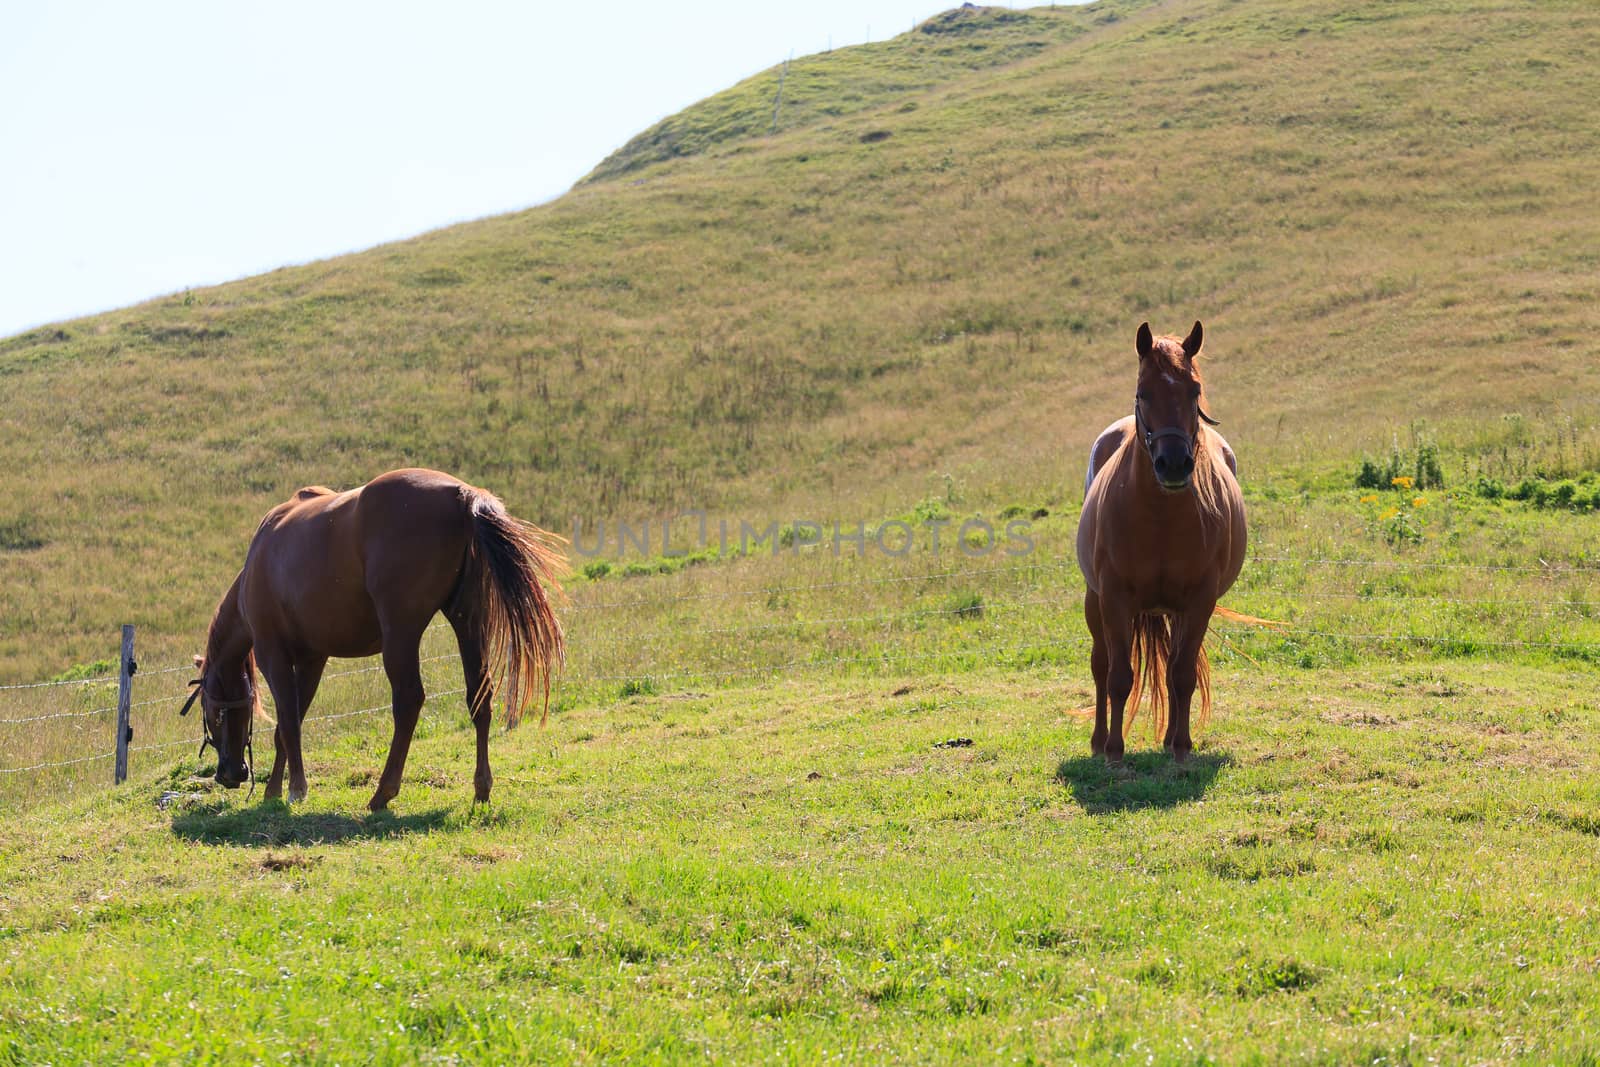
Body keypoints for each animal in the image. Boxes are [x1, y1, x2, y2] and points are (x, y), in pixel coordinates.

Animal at [182, 467, 566, 809]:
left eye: (210, 709)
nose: (231, 774)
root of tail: (462, 497)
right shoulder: (311, 660)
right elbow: (289, 727)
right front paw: (275, 790)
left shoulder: (273, 656)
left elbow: (288, 723)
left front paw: (291, 790)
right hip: (468, 624)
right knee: (478, 696)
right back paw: (481, 788)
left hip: (401, 636)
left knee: (408, 701)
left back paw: (383, 792)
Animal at [1075, 321, 1248, 764]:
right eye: (1143, 392)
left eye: (1194, 390)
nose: (1173, 464)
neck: (1160, 520)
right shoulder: (1114, 598)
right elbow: (1119, 676)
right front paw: (1114, 752)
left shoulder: (1199, 602)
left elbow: (1182, 675)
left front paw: (1181, 749)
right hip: (1094, 601)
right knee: (1101, 665)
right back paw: (1098, 741)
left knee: (1170, 670)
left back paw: (1170, 739)